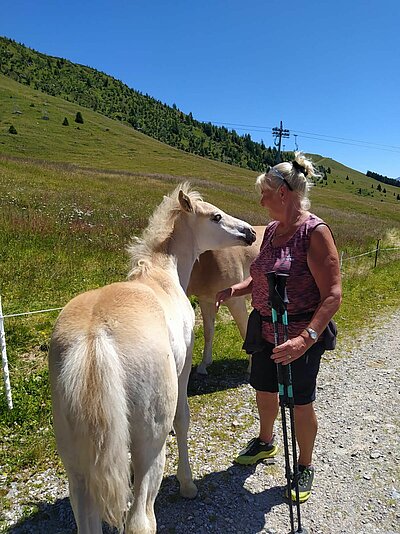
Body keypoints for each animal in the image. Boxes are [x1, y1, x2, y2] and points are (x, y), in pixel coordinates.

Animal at [48, 184, 255, 534]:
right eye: (215, 216)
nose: (250, 233)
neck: (162, 276)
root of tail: (95, 338)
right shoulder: (182, 371)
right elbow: (182, 420)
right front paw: (188, 485)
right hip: (150, 449)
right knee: (141, 520)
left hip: (76, 465)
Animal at [188, 228, 266, 374]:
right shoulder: (205, 301)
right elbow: (208, 331)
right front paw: (204, 364)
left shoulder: (235, 301)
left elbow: (244, 331)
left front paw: (251, 367)